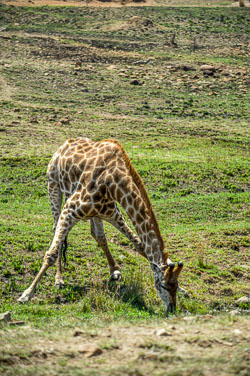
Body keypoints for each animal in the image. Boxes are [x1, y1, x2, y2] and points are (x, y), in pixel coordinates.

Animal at [18, 137, 186, 314]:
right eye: (163, 285)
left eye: (175, 285)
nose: (172, 308)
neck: (113, 184)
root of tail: (63, 146)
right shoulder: (70, 209)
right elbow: (51, 253)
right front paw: (27, 294)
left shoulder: (112, 213)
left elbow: (139, 245)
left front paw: (185, 291)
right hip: (54, 187)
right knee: (57, 232)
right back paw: (59, 279)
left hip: (95, 213)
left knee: (98, 235)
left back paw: (114, 270)